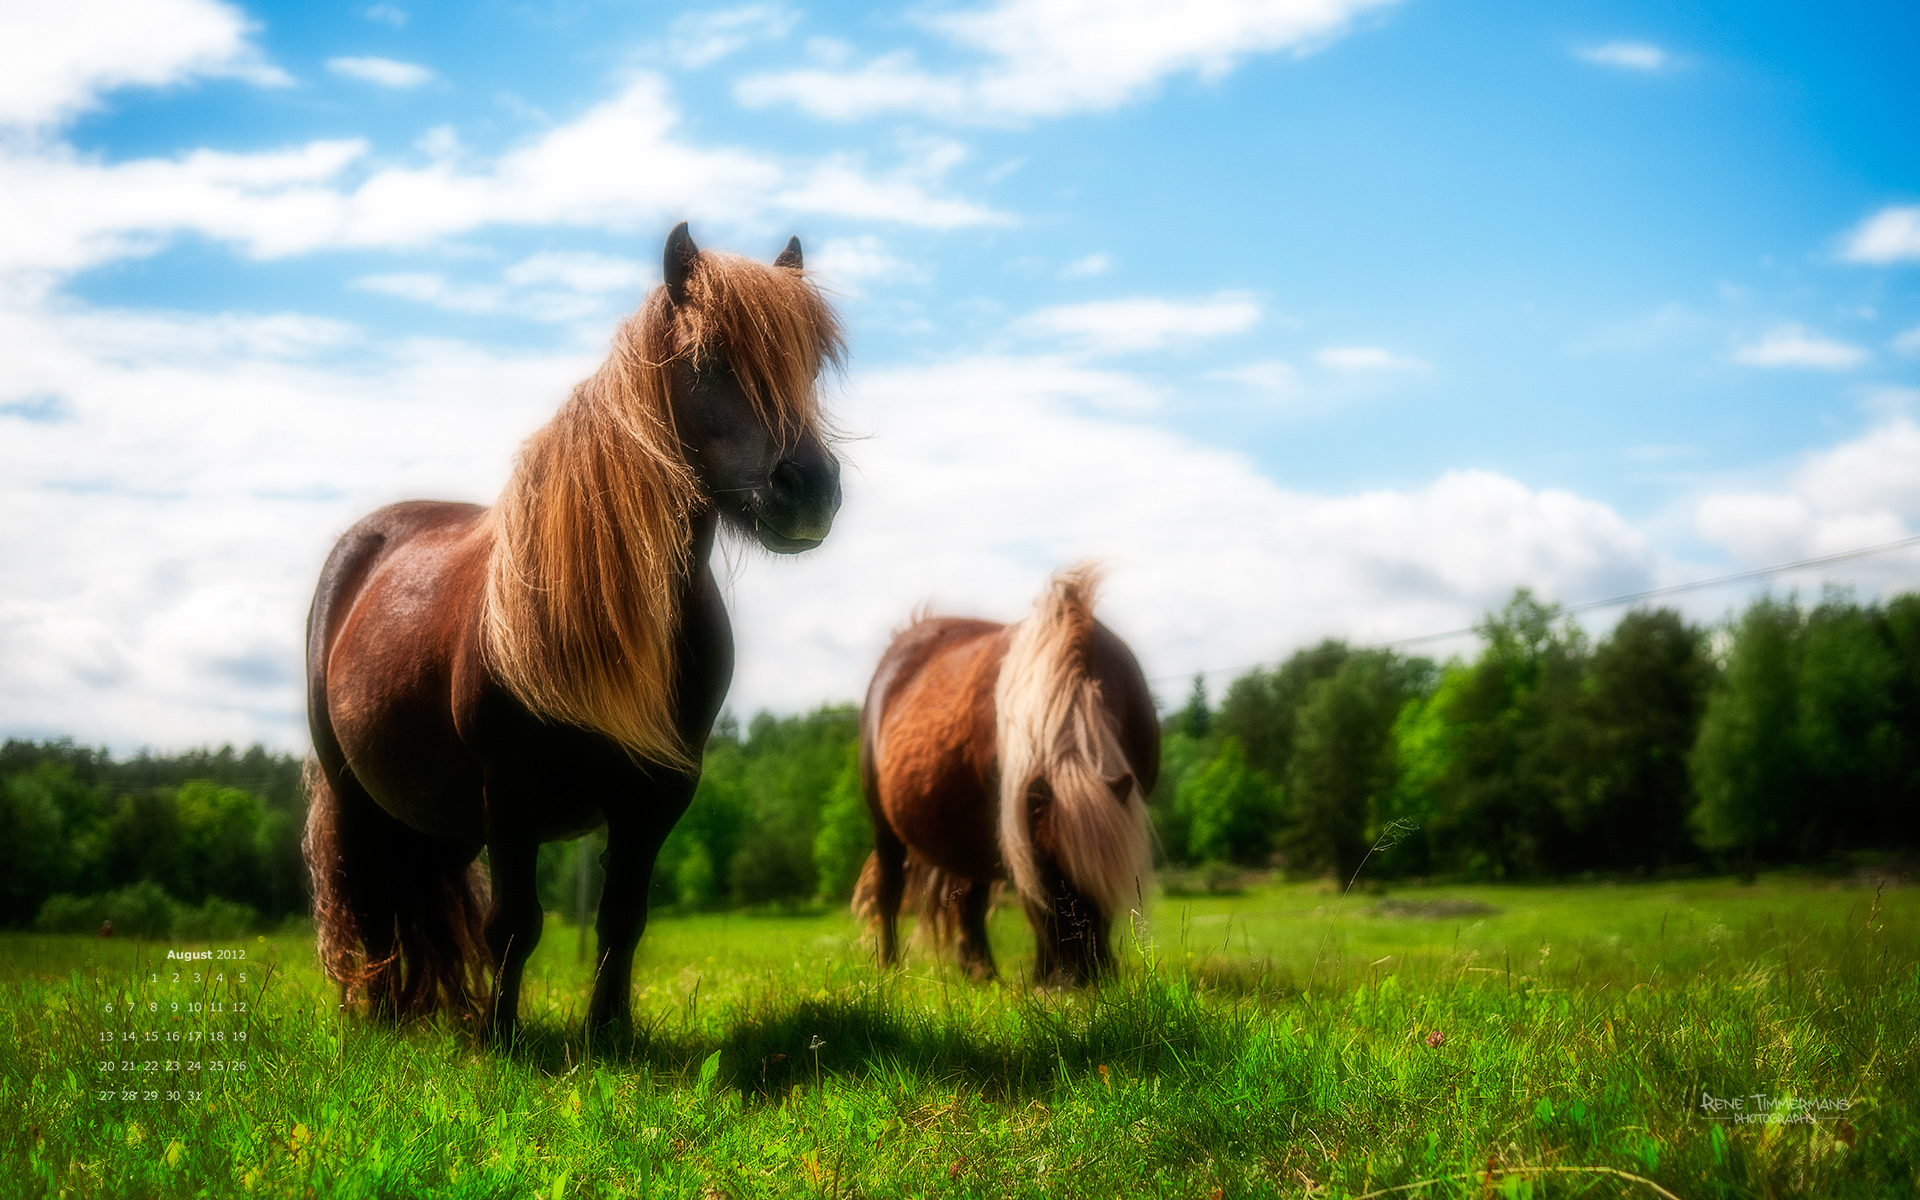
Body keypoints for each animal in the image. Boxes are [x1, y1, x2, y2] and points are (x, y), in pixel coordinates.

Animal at [302, 223, 844, 1039]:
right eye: (709, 360)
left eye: (809, 366)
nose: (810, 488)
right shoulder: (510, 793)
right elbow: (514, 924)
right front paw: (499, 1041)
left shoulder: (657, 797)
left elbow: (622, 918)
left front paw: (608, 1034)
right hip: (358, 798)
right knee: (369, 906)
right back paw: (381, 1019)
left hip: (439, 817)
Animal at [852, 565, 1158, 985]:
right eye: (1045, 872)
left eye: (1104, 870)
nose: (1081, 976)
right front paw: (1042, 977)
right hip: (886, 824)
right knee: (891, 891)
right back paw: (892, 967)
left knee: (968, 899)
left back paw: (979, 972)